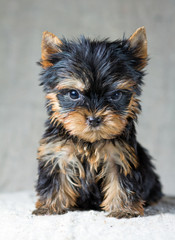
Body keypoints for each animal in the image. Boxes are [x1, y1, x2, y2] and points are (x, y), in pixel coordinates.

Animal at [33, 27, 163, 218]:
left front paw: (123, 210)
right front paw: (48, 207)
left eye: (116, 95)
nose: (94, 118)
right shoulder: (56, 154)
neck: (89, 141)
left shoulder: (119, 156)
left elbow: (122, 183)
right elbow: (55, 181)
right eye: (73, 94)